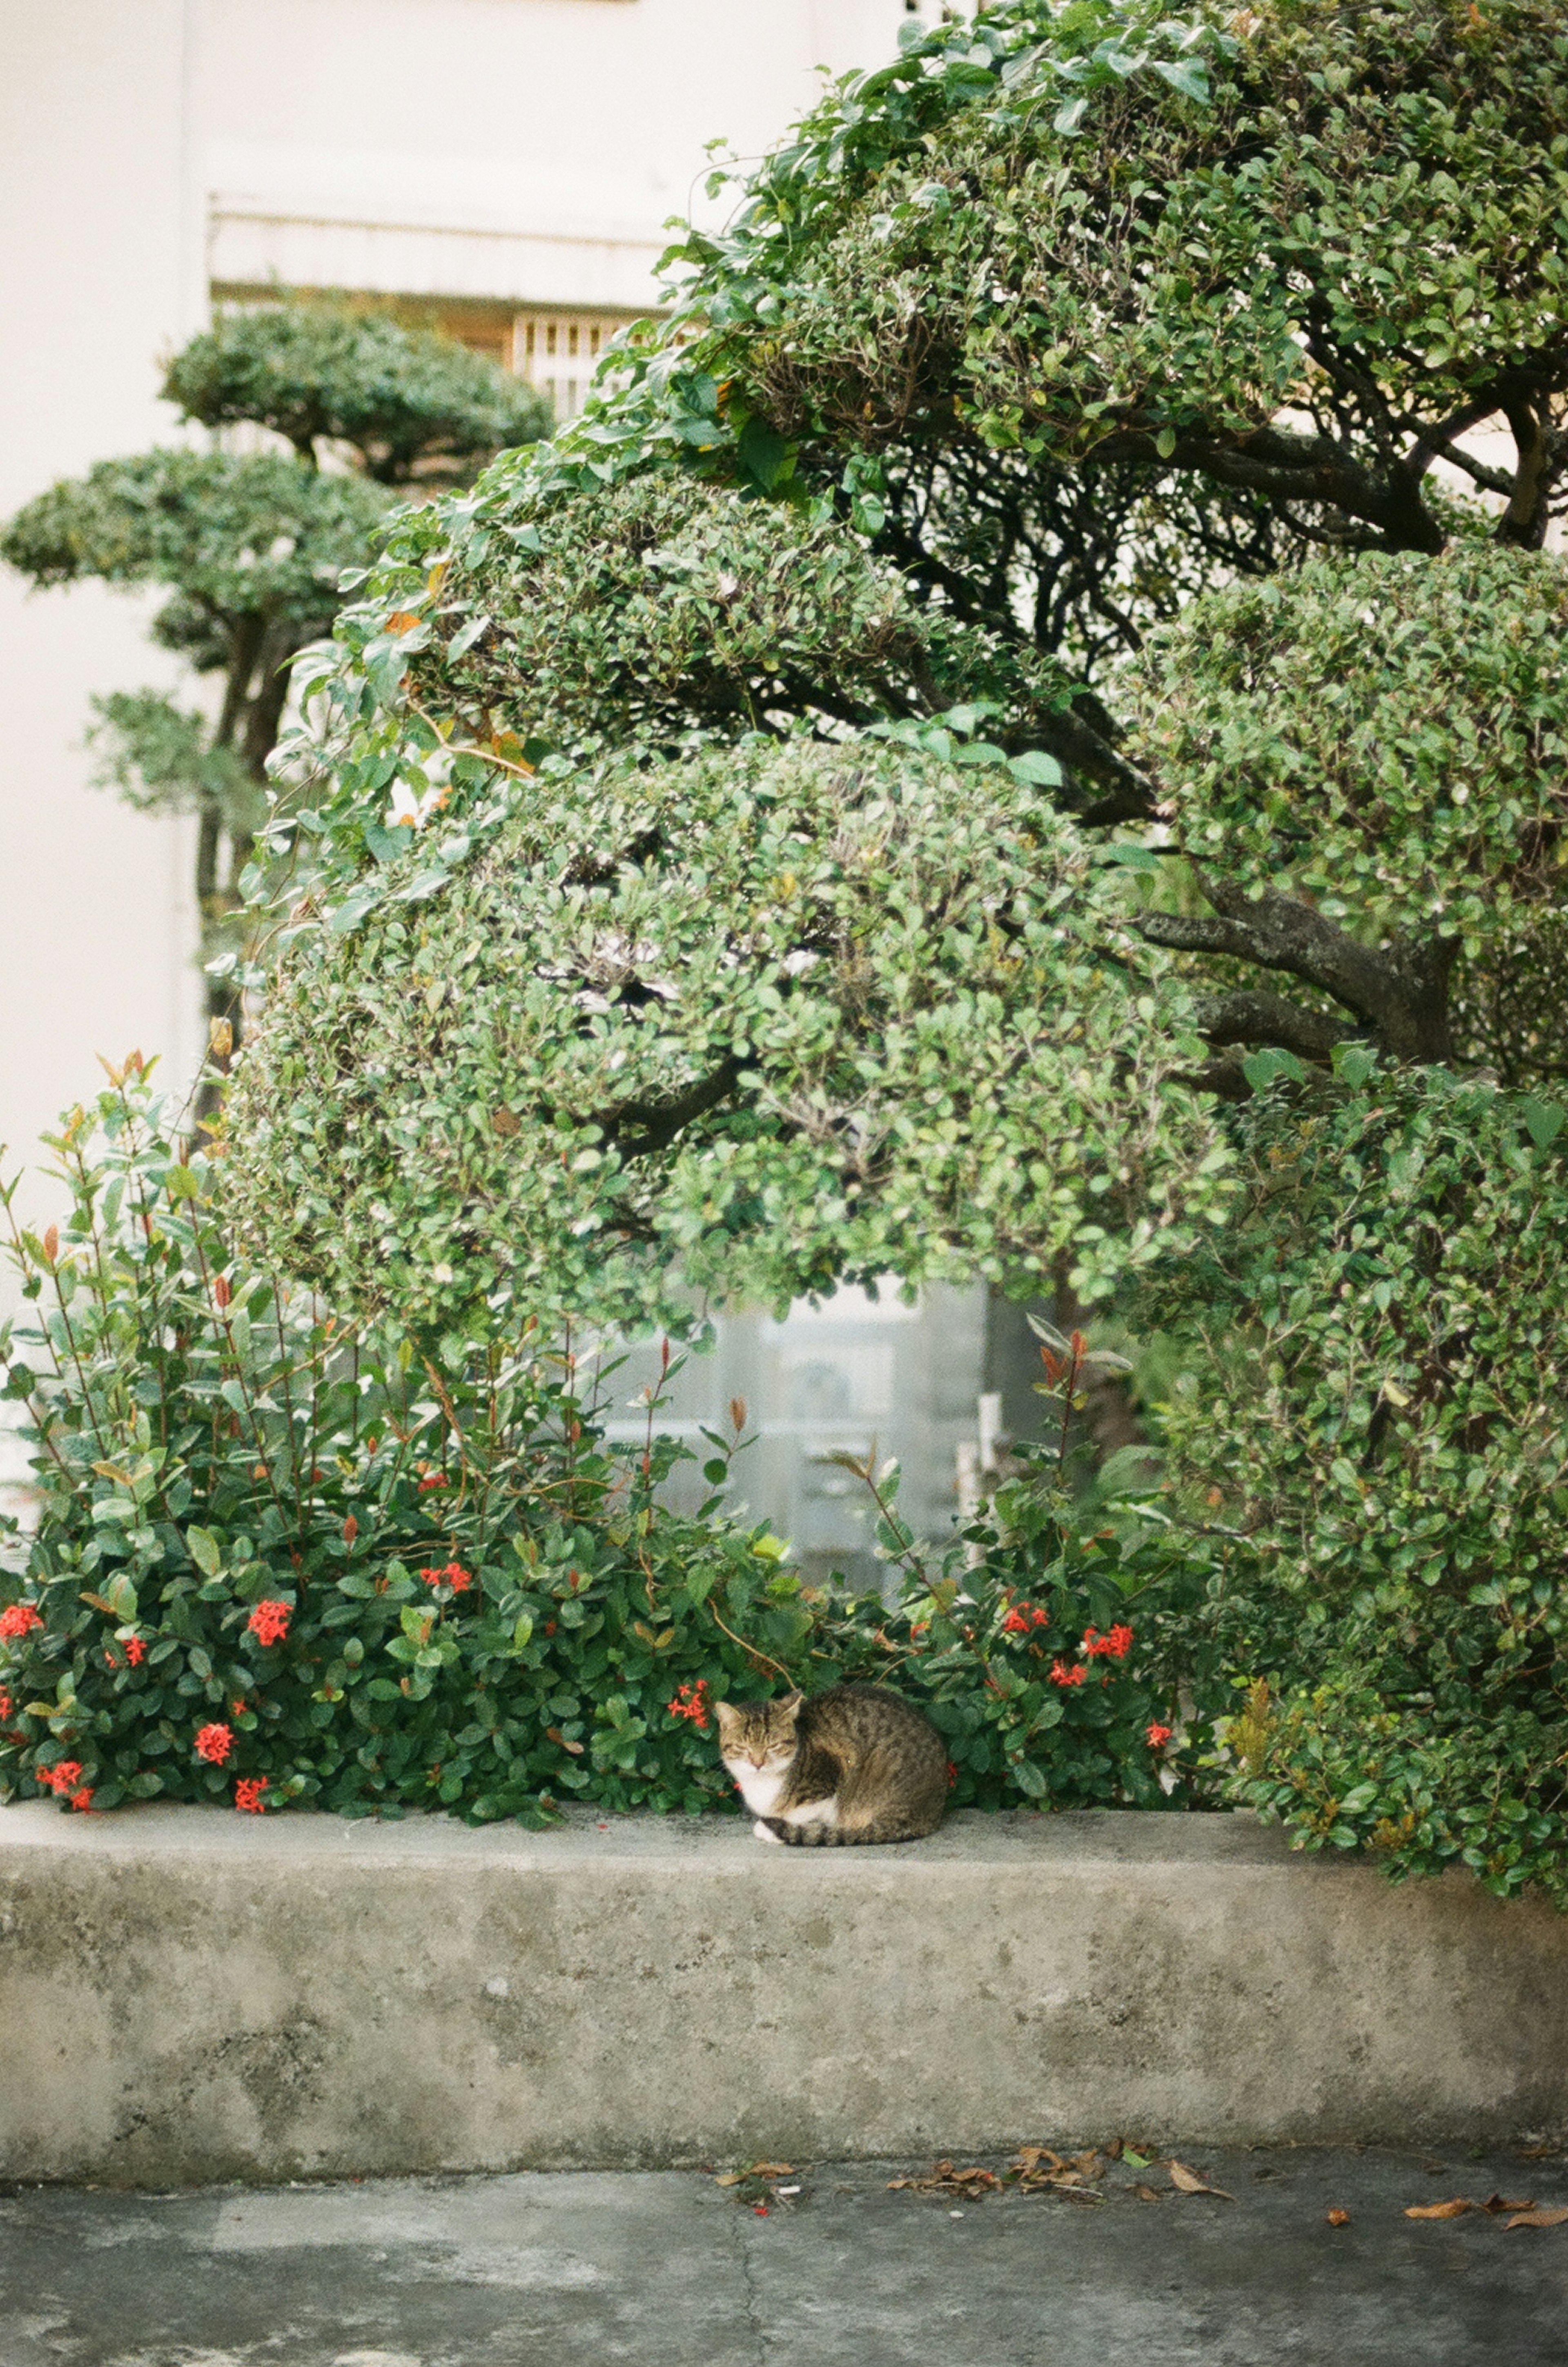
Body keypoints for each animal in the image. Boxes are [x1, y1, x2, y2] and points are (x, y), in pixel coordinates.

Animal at [709, 1685, 946, 1846]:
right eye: (743, 1747)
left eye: (773, 1746)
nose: (758, 1763)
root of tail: (932, 1810)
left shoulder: (830, 1778)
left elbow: (802, 1815)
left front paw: (775, 1828)